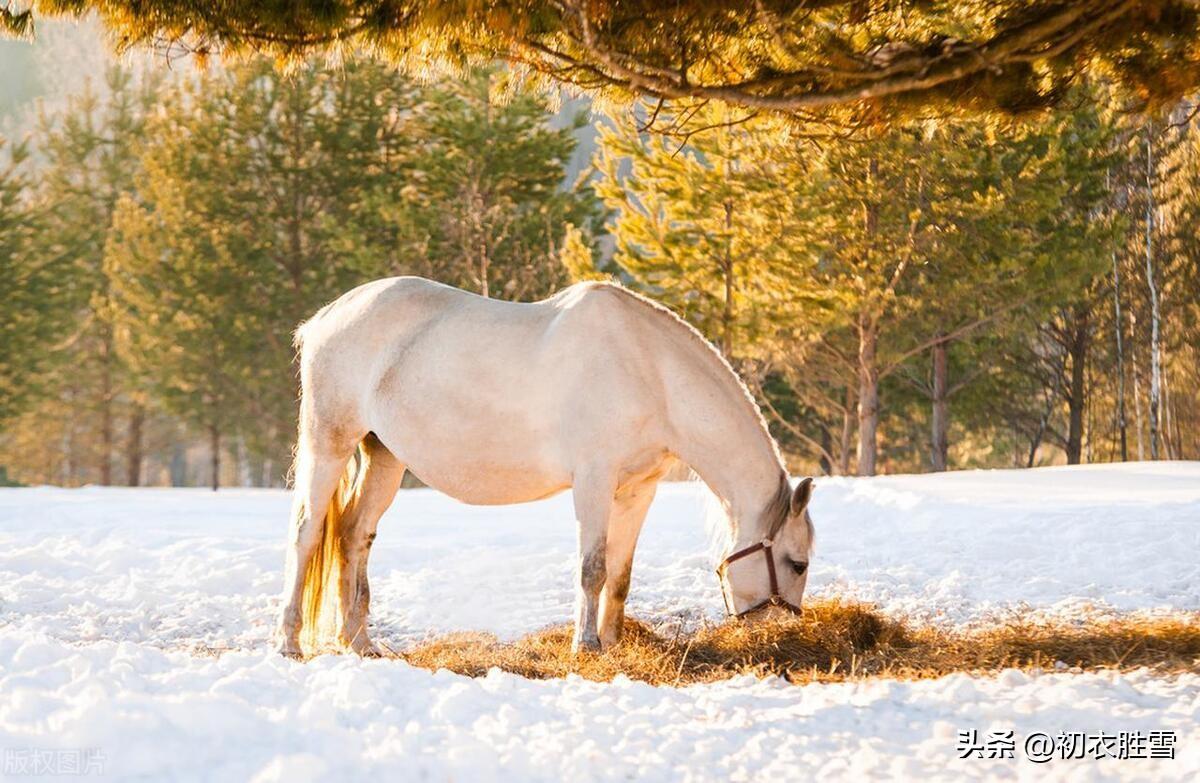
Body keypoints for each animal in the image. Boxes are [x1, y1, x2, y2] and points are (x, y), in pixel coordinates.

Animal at [274, 275, 816, 653]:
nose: (779, 629)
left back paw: (359, 643)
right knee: (306, 534)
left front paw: (613, 643)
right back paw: (290, 643)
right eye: (798, 562)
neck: (649, 370)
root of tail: (324, 318)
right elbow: (592, 569)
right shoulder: (593, 481)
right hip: (329, 444)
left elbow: (620, 573)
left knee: (353, 535)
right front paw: (587, 645)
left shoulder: (638, 489)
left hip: (383, 456)